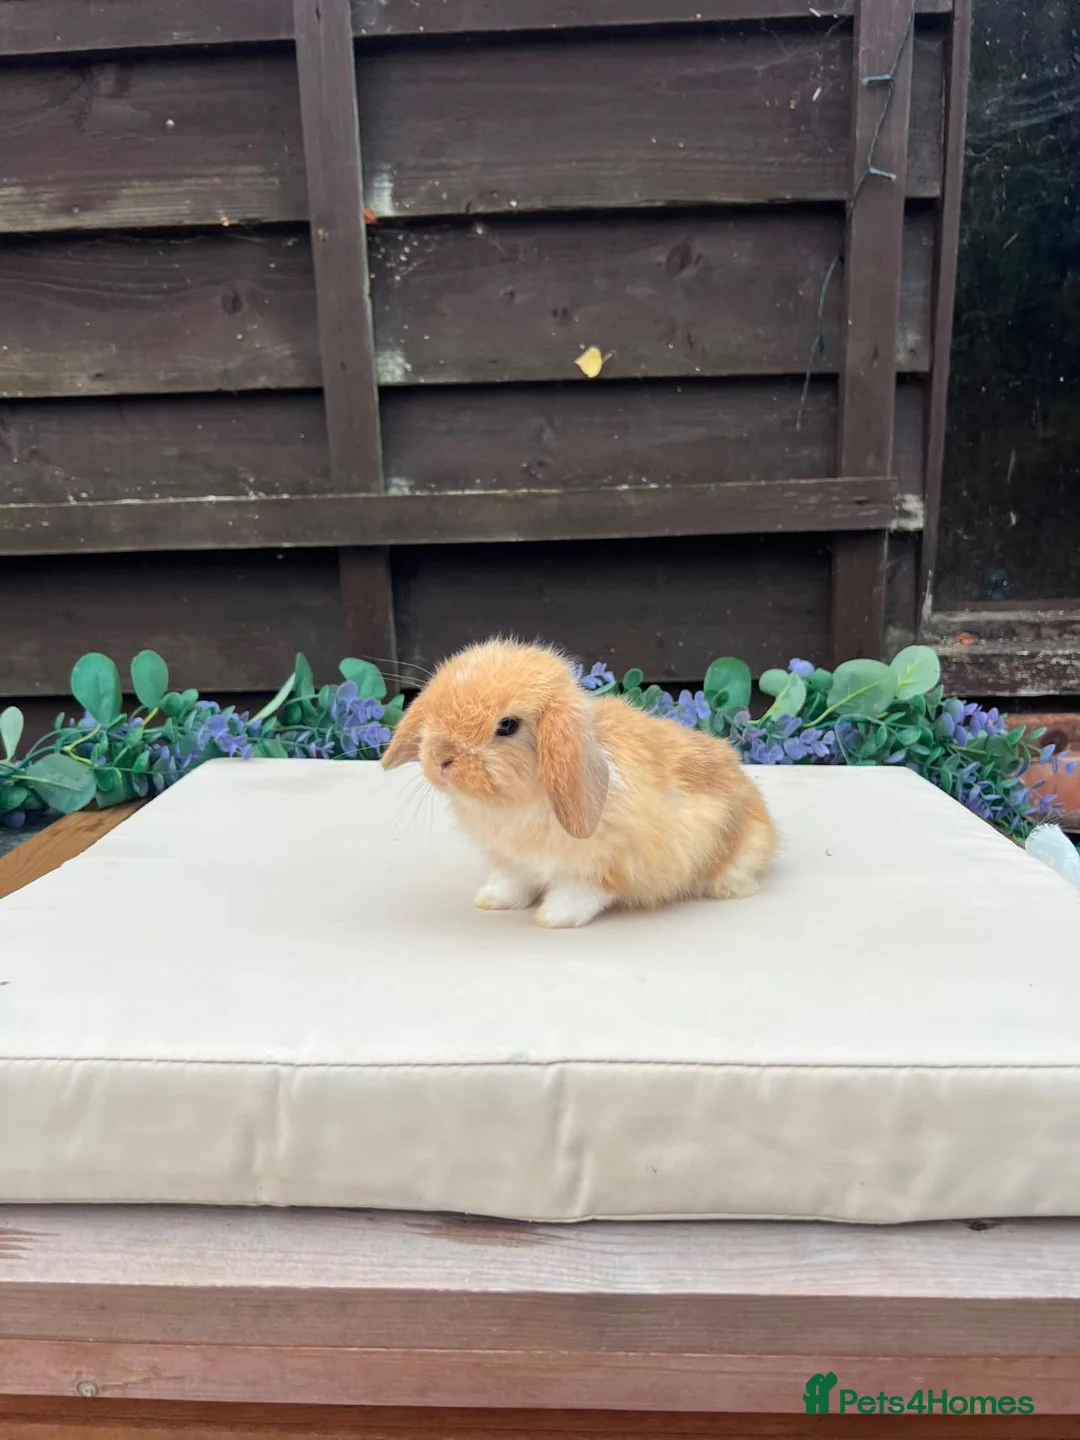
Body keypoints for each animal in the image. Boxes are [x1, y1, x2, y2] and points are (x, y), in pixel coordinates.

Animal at [381, 638, 778, 928]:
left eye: (507, 726)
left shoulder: (609, 861)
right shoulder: (513, 861)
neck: (520, 800)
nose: (440, 760)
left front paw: (553, 916)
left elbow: (586, 890)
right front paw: (492, 900)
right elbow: (512, 880)